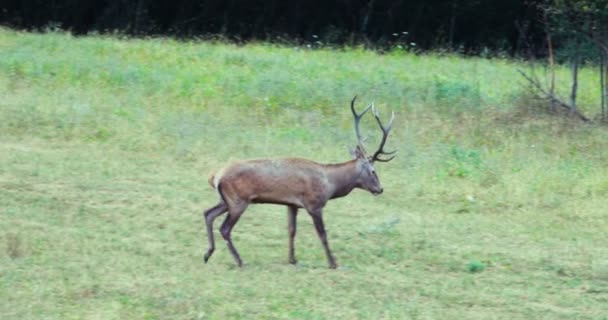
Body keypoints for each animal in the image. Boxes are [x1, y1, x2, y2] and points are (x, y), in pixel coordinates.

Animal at [202, 96, 396, 268]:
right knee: (224, 228)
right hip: (238, 200)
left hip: (225, 200)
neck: (330, 185)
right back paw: (239, 260)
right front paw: (333, 263)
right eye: (373, 171)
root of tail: (215, 176)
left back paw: (208, 253)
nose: (380, 189)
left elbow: (291, 230)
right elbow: (322, 234)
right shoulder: (314, 204)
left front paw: (292, 259)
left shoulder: (292, 204)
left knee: (208, 213)